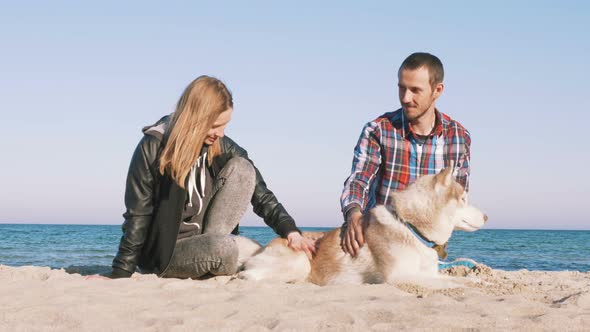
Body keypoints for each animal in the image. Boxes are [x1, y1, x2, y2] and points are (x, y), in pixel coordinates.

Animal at [238, 166, 488, 286]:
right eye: (464, 199)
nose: (486, 216)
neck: (411, 228)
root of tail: (262, 248)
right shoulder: (399, 277)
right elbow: (452, 283)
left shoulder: (429, 273)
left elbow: (455, 279)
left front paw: (478, 279)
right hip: (300, 262)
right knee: (246, 276)